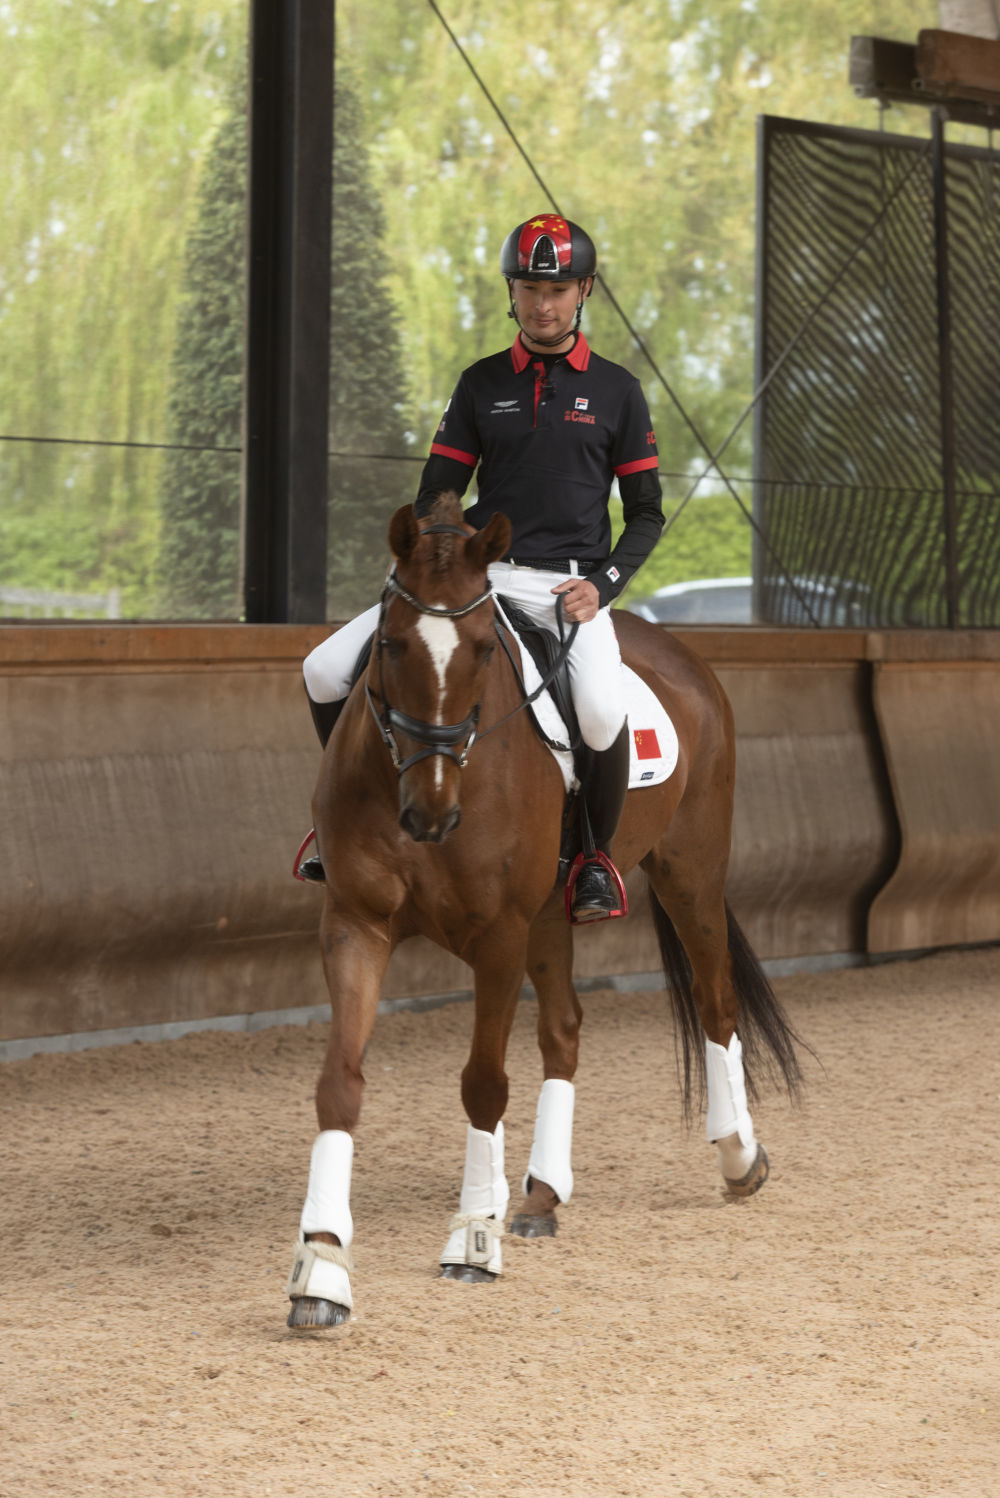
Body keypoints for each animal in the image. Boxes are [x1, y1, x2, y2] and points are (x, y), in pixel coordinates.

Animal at [284, 491, 802, 1324]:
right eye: (389, 646)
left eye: (480, 651)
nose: (430, 814)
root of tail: (678, 653)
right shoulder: (356, 926)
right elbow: (341, 1082)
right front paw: (321, 1267)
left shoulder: (497, 935)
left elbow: (483, 1083)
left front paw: (469, 1240)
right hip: (552, 916)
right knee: (564, 1031)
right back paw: (538, 1194)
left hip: (690, 870)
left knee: (716, 1001)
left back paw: (739, 1156)